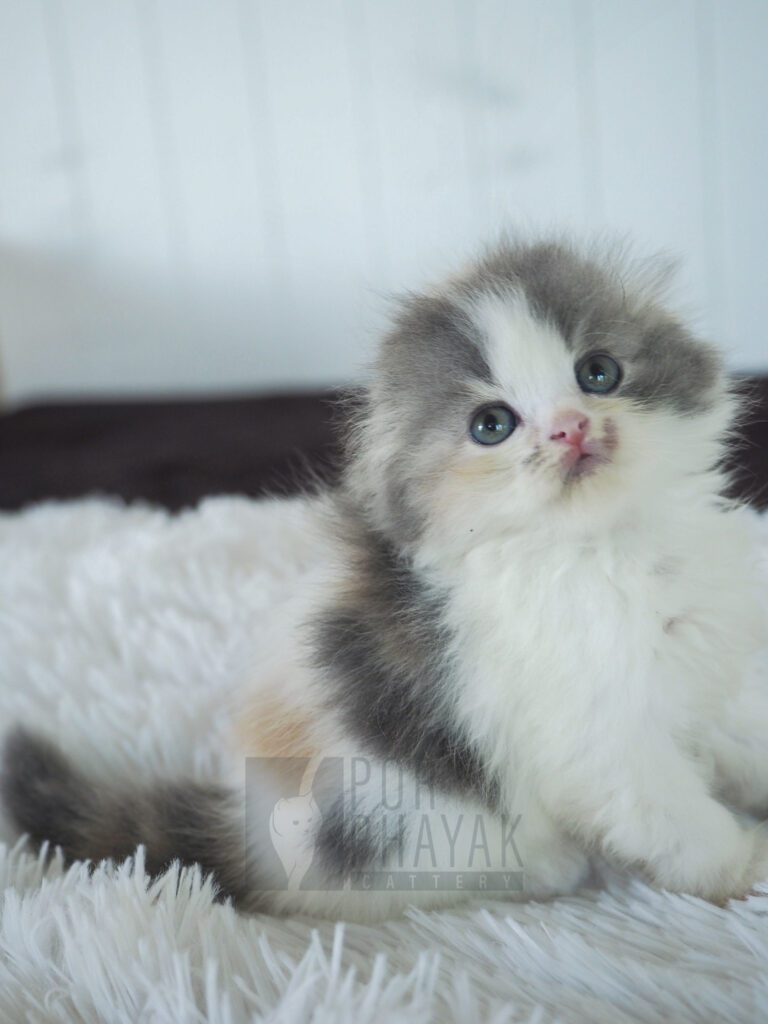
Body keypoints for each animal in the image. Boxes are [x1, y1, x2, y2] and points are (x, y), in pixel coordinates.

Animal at [1, 237, 768, 921]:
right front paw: (745, 865)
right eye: (493, 424)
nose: (571, 429)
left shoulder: (713, 663)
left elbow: (743, 733)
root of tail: (244, 827)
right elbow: (674, 816)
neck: (609, 546)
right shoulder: (596, 736)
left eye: (599, 373)